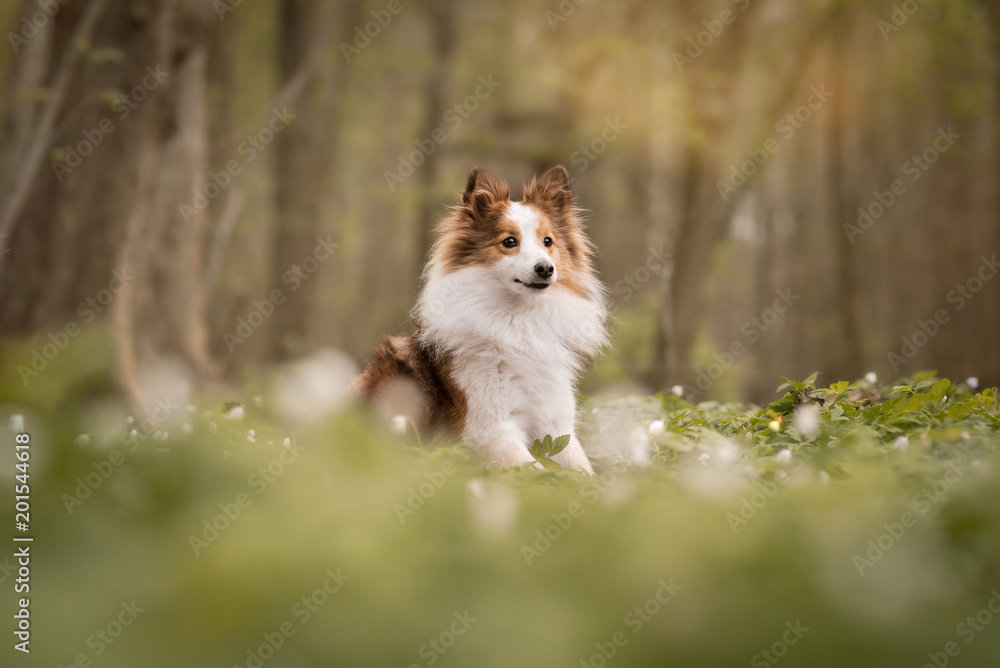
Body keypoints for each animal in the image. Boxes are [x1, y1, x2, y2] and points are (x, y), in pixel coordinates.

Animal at [360, 164, 608, 472]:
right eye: (509, 241)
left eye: (548, 241)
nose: (545, 268)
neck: (521, 321)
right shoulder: (491, 431)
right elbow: (541, 473)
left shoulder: (557, 428)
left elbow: (583, 472)